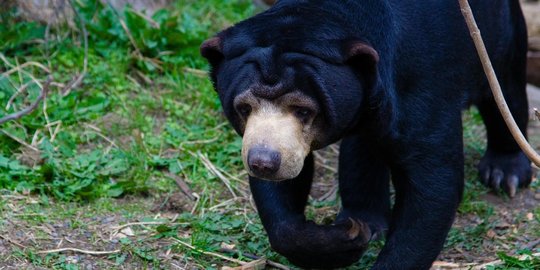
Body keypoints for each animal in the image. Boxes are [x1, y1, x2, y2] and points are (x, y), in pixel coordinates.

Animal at [199, 1, 532, 268]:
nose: (263, 162)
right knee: (363, 146)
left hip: (497, 36)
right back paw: (365, 220)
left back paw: (505, 173)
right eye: (244, 107)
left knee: (505, 92)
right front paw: (346, 238)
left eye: (304, 110)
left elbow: (433, 183)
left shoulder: (419, 89)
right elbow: (283, 196)